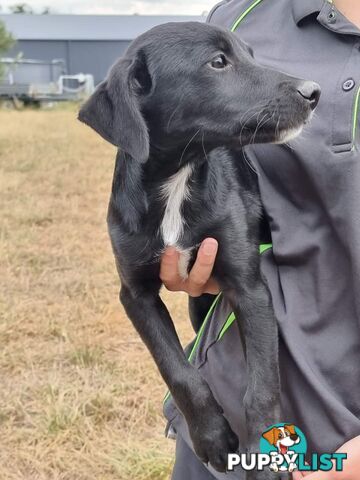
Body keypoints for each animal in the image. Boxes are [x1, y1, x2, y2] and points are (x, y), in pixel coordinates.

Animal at [78, 22, 318, 480]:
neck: (179, 177)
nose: (313, 91)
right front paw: (212, 437)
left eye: (251, 55)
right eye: (218, 62)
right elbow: (177, 370)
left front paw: (266, 455)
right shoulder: (135, 295)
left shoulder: (249, 288)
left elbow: (262, 383)